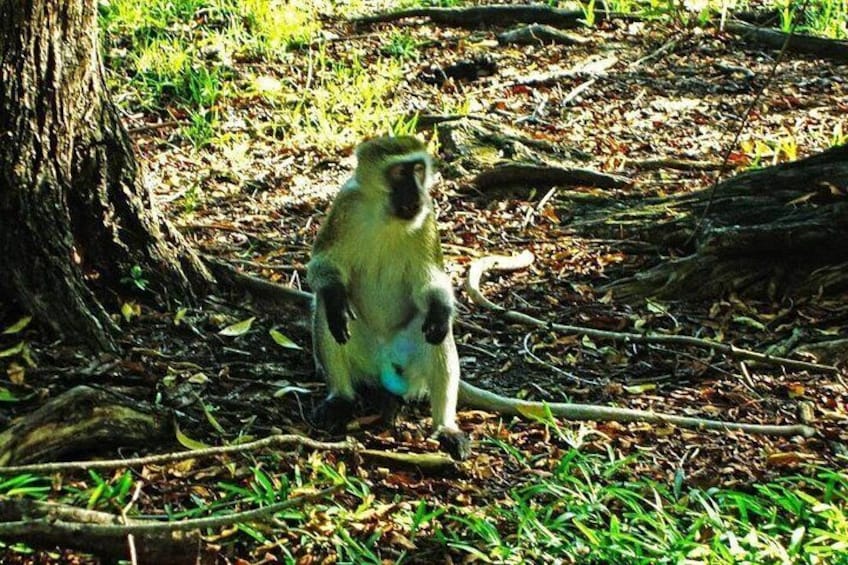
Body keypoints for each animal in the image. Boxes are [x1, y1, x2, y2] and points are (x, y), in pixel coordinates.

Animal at [307, 135, 470, 460]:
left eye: (418, 170)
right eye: (399, 173)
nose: (417, 192)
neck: (387, 218)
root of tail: (383, 359)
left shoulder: (427, 218)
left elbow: (430, 281)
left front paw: (441, 309)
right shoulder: (345, 205)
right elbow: (322, 266)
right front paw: (336, 297)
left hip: (410, 365)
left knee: (436, 335)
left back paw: (445, 427)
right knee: (326, 313)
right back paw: (340, 398)